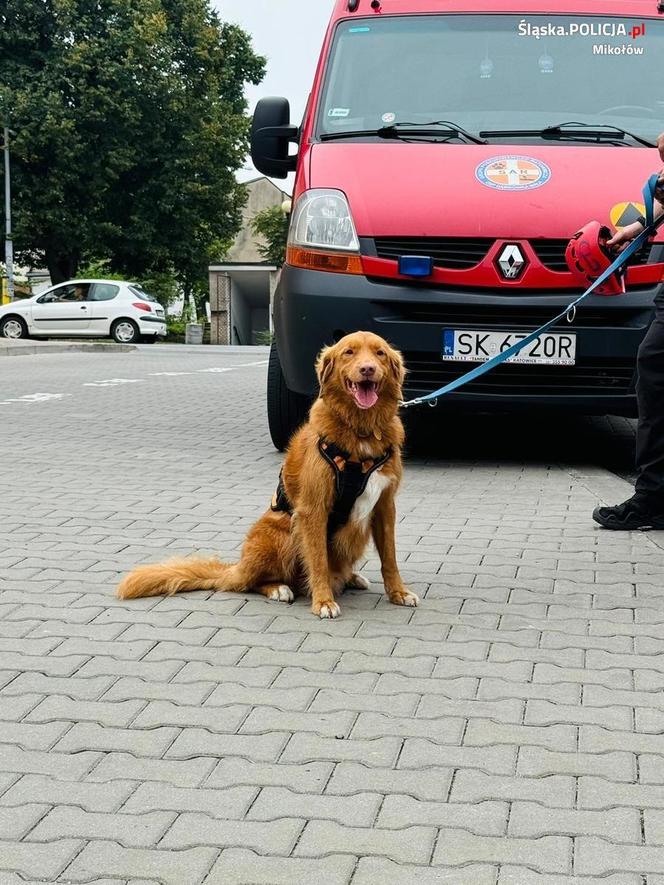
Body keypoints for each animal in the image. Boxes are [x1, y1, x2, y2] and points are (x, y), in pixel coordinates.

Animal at [114, 328, 416, 620]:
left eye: (379, 353)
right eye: (349, 352)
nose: (367, 369)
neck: (360, 432)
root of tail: (238, 566)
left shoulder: (385, 506)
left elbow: (390, 558)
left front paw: (398, 593)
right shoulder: (313, 510)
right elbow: (318, 560)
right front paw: (323, 601)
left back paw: (351, 577)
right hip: (283, 534)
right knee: (250, 583)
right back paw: (279, 589)